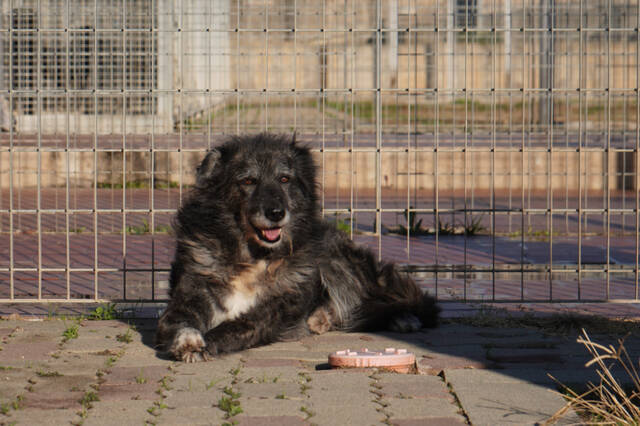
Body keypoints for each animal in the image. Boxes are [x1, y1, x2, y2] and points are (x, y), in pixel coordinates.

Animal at [156, 133, 439, 362]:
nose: (276, 213)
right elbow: (176, 320)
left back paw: (400, 318)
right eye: (248, 181)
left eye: (284, 179)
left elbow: (238, 326)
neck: (253, 256)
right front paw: (187, 340)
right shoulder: (193, 289)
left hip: (335, 261)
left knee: (394, 299)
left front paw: (209, 343)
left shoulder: (275, 308)